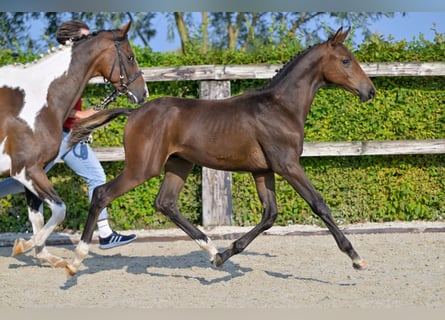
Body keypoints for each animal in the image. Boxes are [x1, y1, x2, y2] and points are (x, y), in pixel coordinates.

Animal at [0, 21, 149, 268]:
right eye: (130, 57)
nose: (143, 93)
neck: (39, 100)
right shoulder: (25, 170)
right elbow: (60, 209)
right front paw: (23, 246)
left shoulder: (34, 171)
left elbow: (38, 217)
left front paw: (46, 256)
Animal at [66, 26, 372, 276]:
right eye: (346, 60)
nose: (370, 91)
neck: (281, 107)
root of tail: (136, 111)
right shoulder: (288, 165)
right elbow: (318, 204)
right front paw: (355, 257)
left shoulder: (263, 170)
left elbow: (270, 214)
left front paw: (226, 255)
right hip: (142, 168)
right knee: (102, 194)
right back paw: (75, 261)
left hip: (179, 164)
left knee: (165, 203)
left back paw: (212, 252)